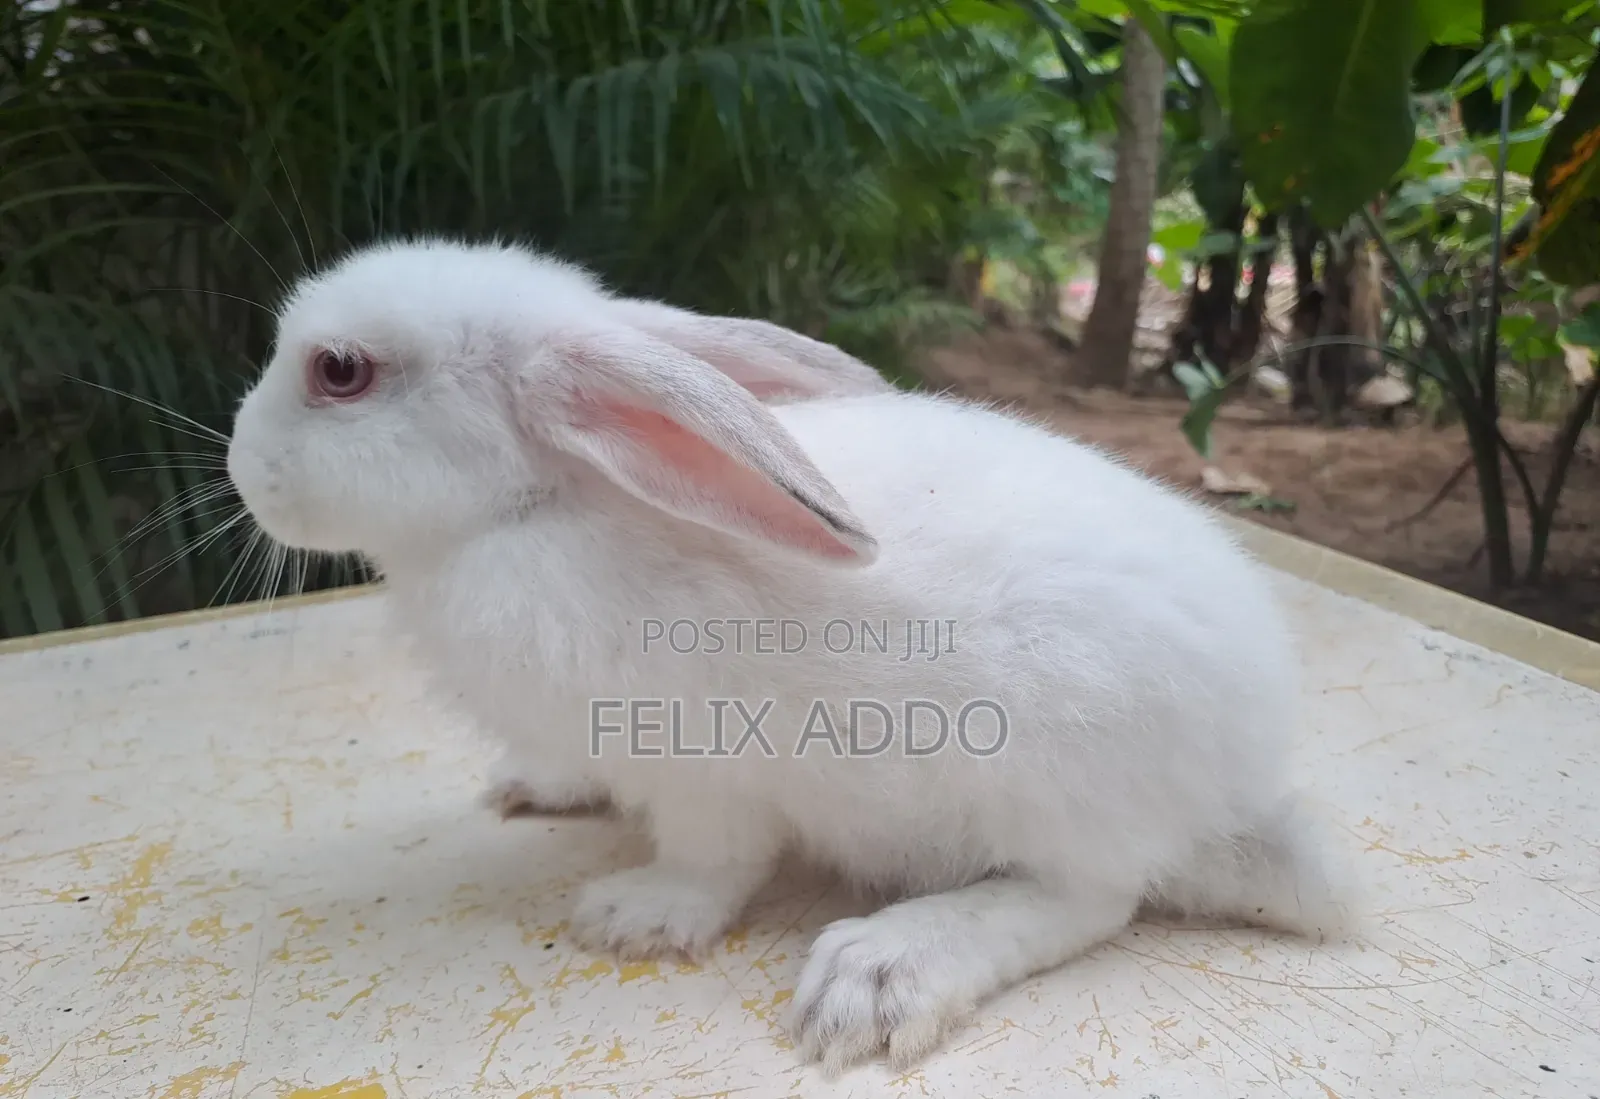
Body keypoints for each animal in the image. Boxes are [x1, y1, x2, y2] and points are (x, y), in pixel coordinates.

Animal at [227, 236, 1354, 1075]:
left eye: (340, 372)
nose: (239, 465)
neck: (545, 505)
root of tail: (1237, 788)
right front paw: (533, 786)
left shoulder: (700, 771)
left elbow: (711, 864)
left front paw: (629, 916)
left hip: (1052, 790)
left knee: (1088, 898)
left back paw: (881, 969)